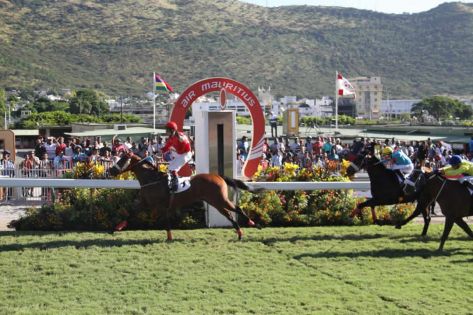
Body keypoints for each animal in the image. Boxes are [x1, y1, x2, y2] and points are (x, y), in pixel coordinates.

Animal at [108, 153, 258, 242]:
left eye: (122, 160)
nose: (110, 170)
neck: (151, 179)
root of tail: (218, 176)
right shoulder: (145, 202)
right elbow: (131, 212)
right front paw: (117, 227)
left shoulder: (161, 205)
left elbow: (165, 221)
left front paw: (169, 237)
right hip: (215, 202)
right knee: (230, 214)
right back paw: (240, 232)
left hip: (219, 200)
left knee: (236, 209)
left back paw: (251, 224)